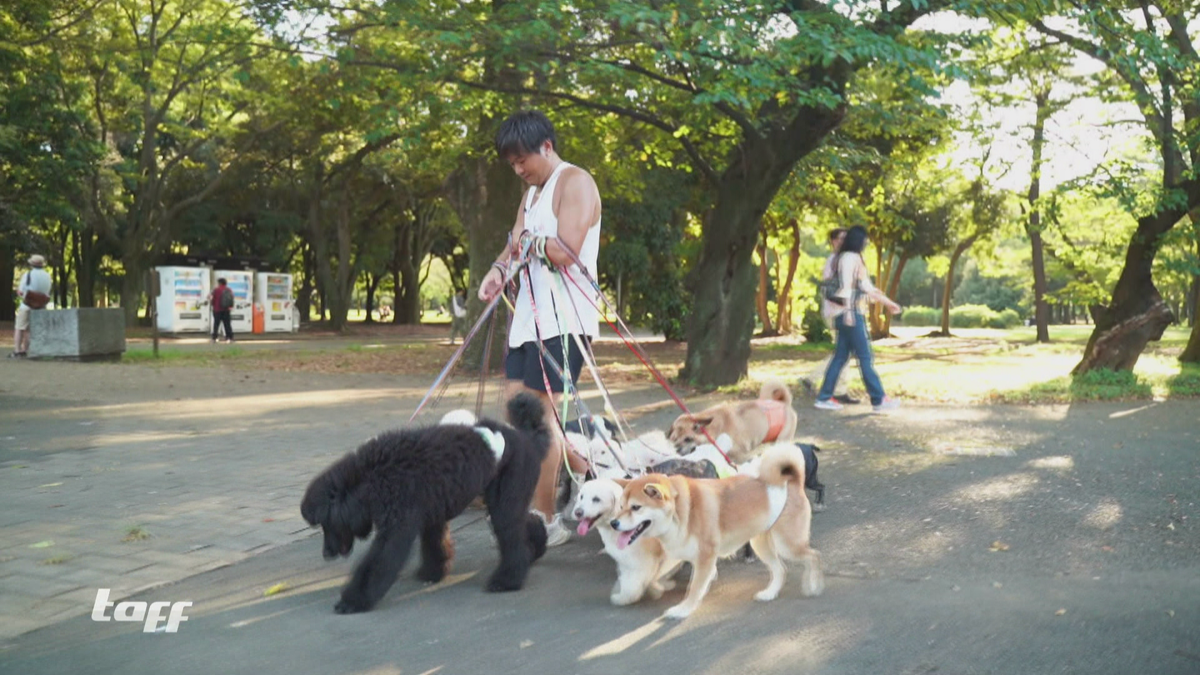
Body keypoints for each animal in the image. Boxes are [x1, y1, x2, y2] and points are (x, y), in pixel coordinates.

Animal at [300, 391, 549, 612]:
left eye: (326, 523)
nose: (327, 554)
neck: (372, 477)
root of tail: (526, 438)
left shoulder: (397, 527)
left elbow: (378, 562)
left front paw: (353, 601)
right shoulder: (431, 514)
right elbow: (434, 544)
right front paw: (432, 572)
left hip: (506, 497)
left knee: (510, 533)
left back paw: (507, 580)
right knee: (524, 525)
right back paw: (535, 549)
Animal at [614, 439, 820, 619]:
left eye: (636, 507)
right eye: (621, 506)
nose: (614, 524)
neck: (681, 512)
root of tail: (792, 480)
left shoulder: (704, 558)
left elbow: (694, 588)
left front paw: (682, 610)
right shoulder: (678, 553)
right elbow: (652, 577)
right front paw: (655, 588)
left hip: (787, 544)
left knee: (813, 556)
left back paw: (812, 585)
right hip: (761, 545)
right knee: (780, 569)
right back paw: (769, 593)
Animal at [667, 379, 796, 461]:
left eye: (688, 439)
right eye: (673, 439)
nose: (676, 450)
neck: (715, 429)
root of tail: (784, 403)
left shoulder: (739, 453)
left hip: (782, 439)